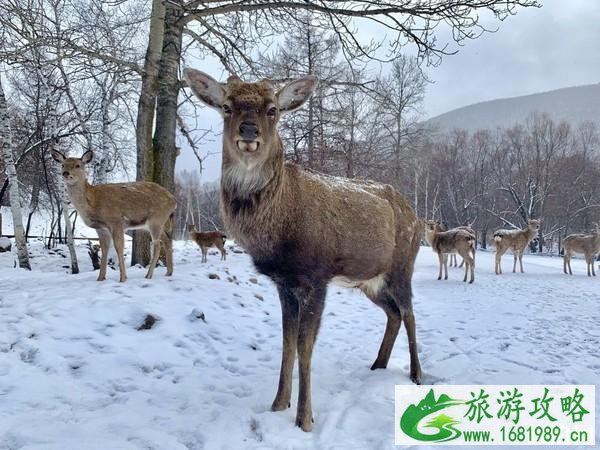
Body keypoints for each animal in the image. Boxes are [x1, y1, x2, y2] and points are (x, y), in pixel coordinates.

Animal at [51, 149, 176, 282]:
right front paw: (100, 278)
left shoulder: (116, 221)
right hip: (153, 224)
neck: (94, 201)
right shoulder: (101, 228)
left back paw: (149, 275)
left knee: (157, 245)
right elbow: (104, 250)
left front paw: (123, 278)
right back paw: (169, 272)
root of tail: (174, 201)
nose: (65, 173)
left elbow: (118, 248)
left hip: (156, 219)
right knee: (167, 240)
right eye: (62, 164)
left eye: (77, 165)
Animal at [185, 68, 424, 430]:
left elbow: (304, 344)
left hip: (402, 264)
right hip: (370, 280)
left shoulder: (317, 276)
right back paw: (378, 364)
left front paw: (305, 419)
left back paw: (417, 374)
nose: (249, 130)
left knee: (409, 312)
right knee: (394, 313)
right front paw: (278, 404)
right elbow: (287, 341)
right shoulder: (284, 282)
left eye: (272, 110)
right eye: (227, 106)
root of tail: (417, 215)